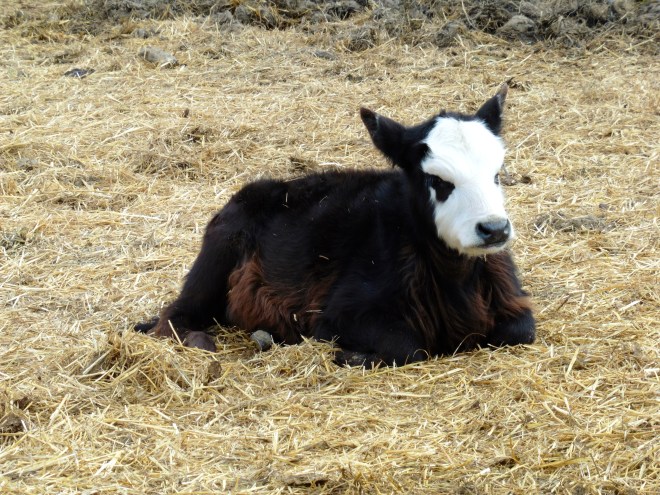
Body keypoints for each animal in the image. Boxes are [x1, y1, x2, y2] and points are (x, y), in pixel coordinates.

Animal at [135, 84, 535, 366]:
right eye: (437, 180)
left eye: (497, 174)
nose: (494, 229)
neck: (456, 279)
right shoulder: (339, 317)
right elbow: (408, 347)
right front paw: (353, 356)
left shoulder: (514, 304)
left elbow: (522, 330)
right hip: (214, 264)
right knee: (175, 315)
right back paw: (200, 340)